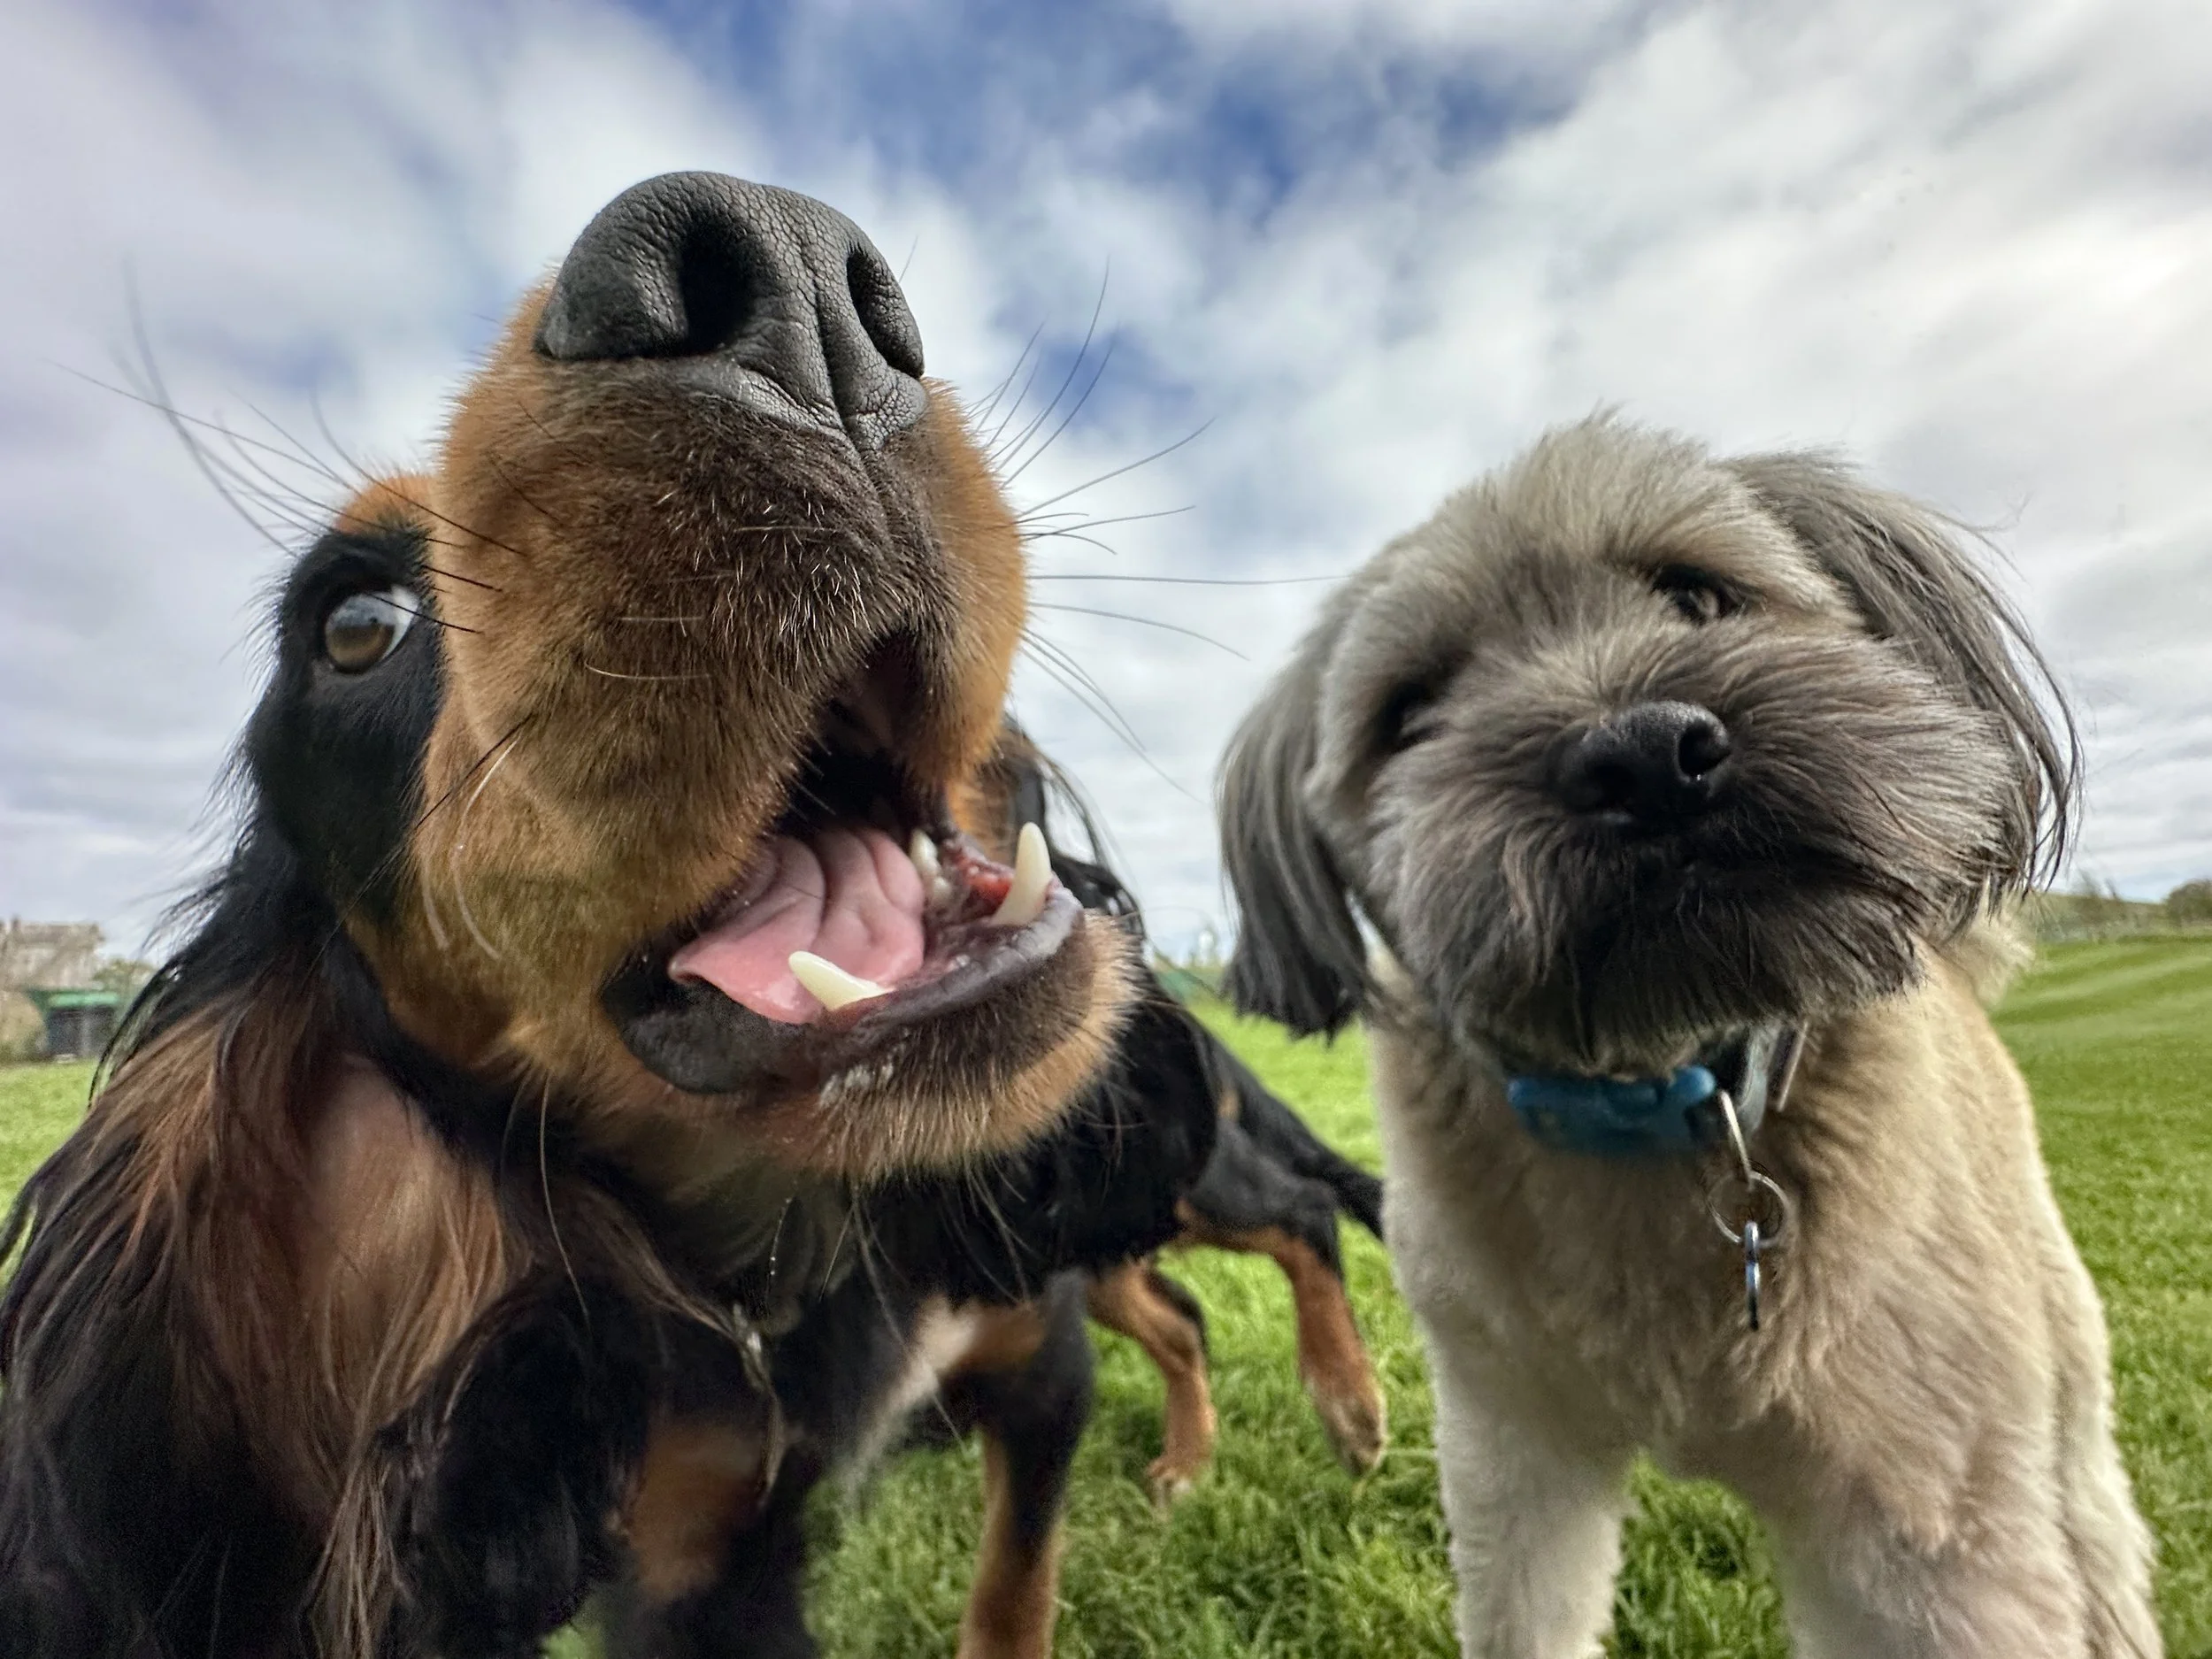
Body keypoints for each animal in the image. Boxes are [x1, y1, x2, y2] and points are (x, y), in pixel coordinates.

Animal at [0, 172, 1207, 1659]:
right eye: (352, 623)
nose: (790, 273)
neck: (796, 1246)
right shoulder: (702, 1555)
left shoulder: (1035, 1354)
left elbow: (1013, 1588)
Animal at [1218, 416, 2160, 1658]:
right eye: (1412, 712)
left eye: (1699, 595)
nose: (1643, 753)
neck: (1659, 1094)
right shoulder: (1511, 1455)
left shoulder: (1941, 1531)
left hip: (2056, 1386)